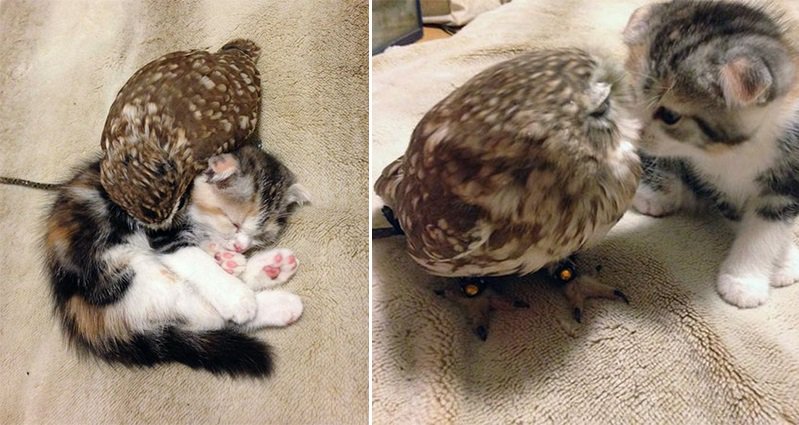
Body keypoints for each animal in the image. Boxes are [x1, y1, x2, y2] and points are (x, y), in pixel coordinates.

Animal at [44, 143, 310, 378]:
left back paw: (269, 268)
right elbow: (196, 261)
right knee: (210, 315)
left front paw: (225, 257)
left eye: (259, 237)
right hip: (126, 270)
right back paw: (269, 297)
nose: (241, 247)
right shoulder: (161, 232)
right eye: (234, 222)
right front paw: (237, 296)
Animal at [624, 0, 799, 306]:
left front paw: (777, 263)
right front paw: (745, 282)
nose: (635, 130)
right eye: (636, 97)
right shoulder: (713, 181)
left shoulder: (790, 171)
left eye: (670, 116)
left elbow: (768, 226)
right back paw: (654, 193)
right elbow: (740, 217)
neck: (739, 150)